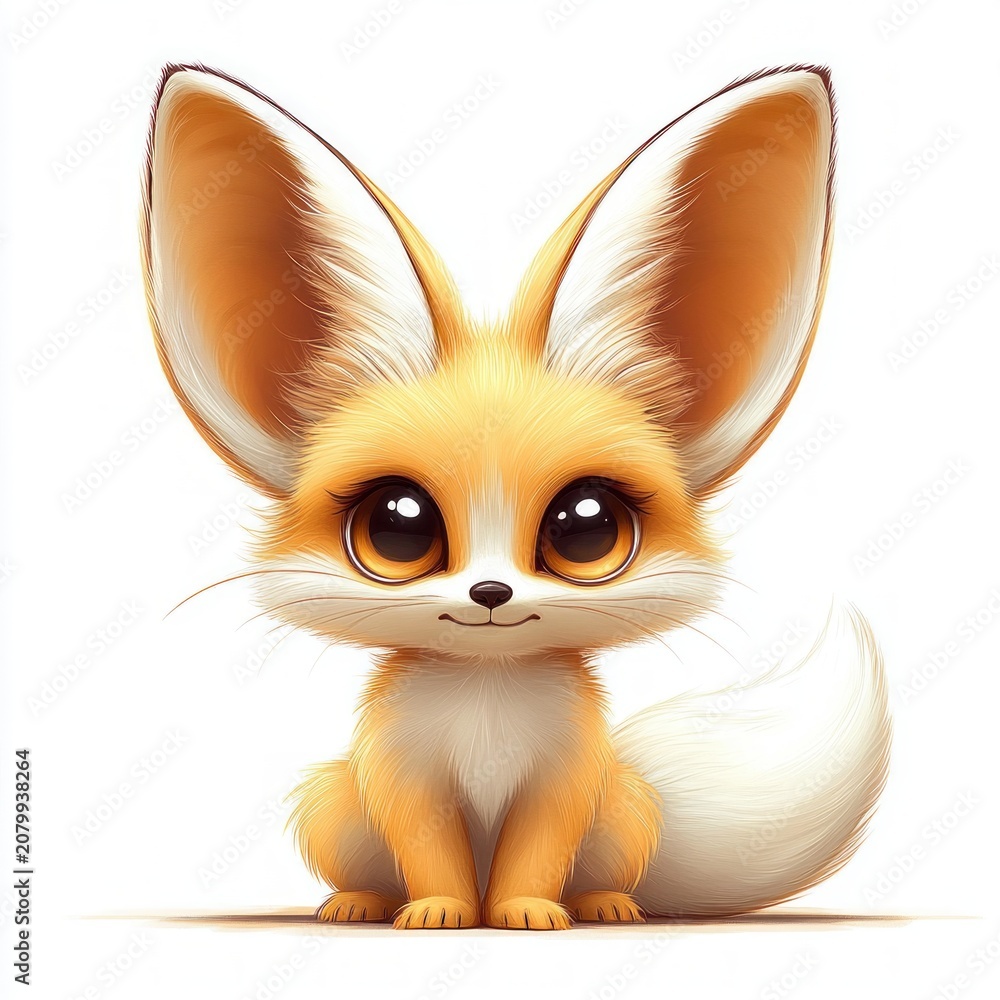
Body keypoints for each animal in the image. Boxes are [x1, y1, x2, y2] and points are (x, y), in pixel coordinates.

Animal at [140, 63, 891, 930]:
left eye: (586, 527)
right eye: (395, 528)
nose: (491, 592)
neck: (486, 693)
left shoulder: (568, 783)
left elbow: (534, 856)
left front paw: (526, 911)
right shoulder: (403, 780)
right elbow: (433, 856)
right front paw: (441, 910)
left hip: (625, 804)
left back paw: (604, 903)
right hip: (334, 801)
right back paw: (360, 901)